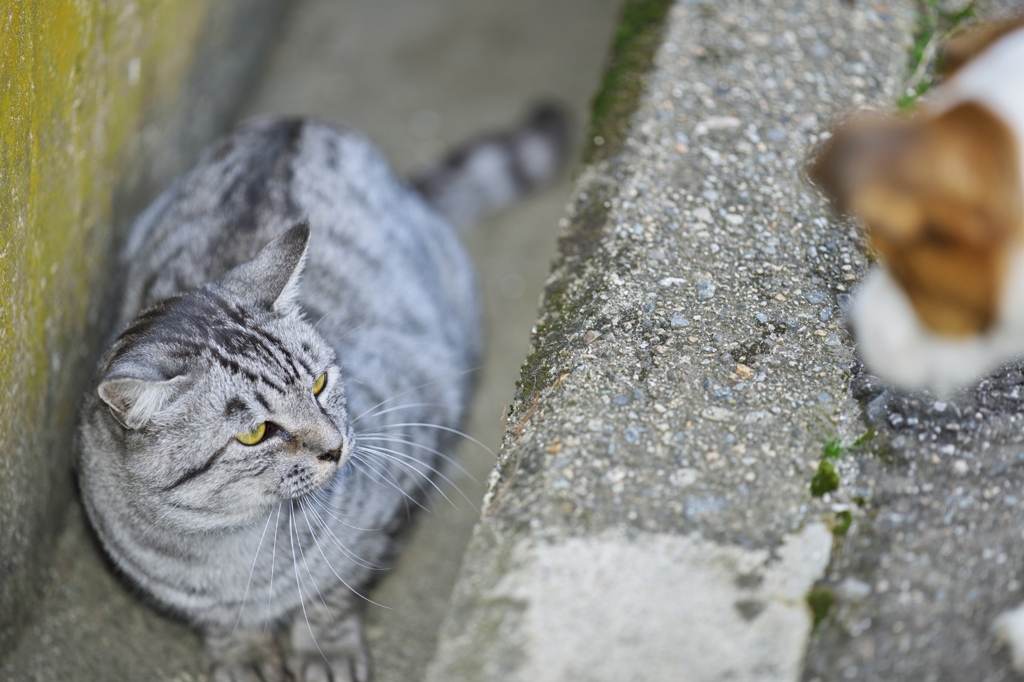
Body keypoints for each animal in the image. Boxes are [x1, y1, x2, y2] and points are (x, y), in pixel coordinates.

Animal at [75, 103, 573, 675]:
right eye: (255, 433)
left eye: (319, 383)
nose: (337, 447)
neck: (227, 544)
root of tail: (295, 121)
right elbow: (223, 621)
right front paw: (243, 651)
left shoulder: (403, 459)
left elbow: (334, 587)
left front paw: (324, 647)